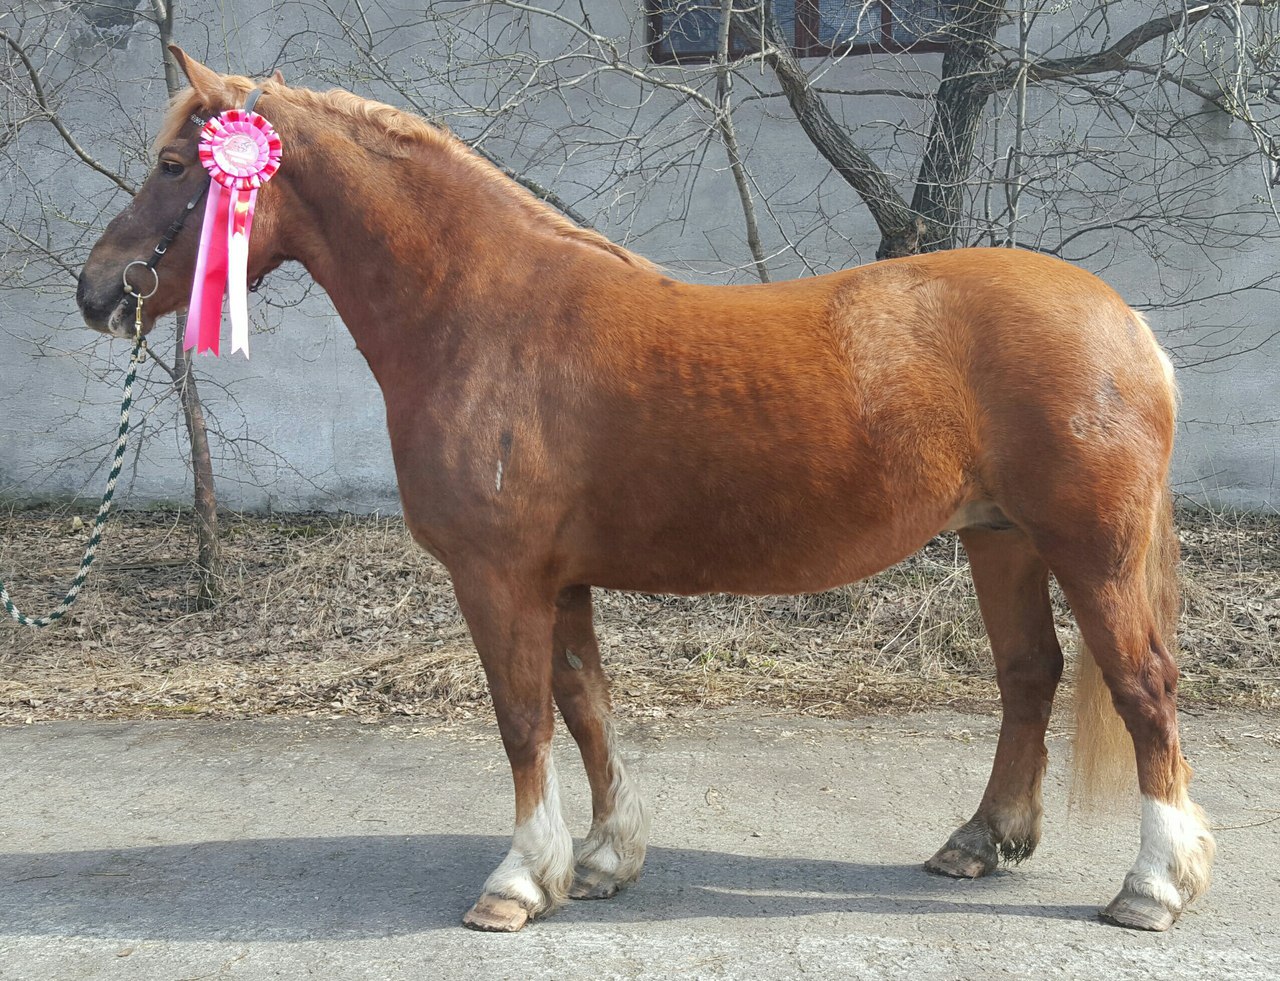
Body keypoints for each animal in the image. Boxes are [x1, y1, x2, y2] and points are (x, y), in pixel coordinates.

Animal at [74, 51, 1213, 937]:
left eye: (175, 167)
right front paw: (600, 861)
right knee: (1029, 676)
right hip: (1000, 537)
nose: (95, 291)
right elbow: (586, 706)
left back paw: (1153, 886)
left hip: (1089, 547)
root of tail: (1125, 324)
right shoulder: (558, 578)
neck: (482, 312)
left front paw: (515, 884)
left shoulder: (498, 576)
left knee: (1142, 687)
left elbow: (521, 717)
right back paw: (979, 841)